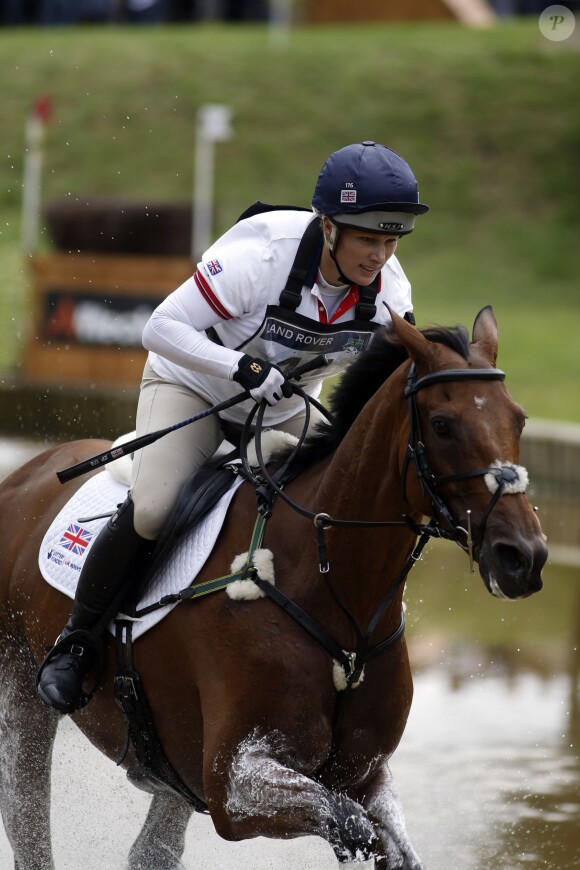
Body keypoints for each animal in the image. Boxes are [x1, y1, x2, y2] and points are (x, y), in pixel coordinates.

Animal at [0, 308, 548, 870]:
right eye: (442, 425)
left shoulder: (365, 774)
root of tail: (27, 473)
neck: (334, 592)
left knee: (151, 849)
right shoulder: (234, 784)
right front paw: (263, 377)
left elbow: (392, 845)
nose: (523, 557)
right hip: (20, 688)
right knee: (29, 824)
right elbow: (351, 825)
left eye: (519, 419)